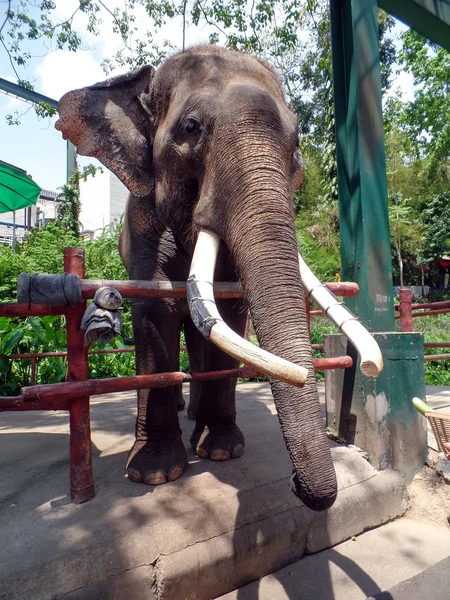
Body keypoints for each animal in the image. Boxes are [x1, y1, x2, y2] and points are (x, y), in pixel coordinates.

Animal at [55, 45, 338, 510]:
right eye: (191, 128)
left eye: (296, 141)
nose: (297, 486)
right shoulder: (145, 222)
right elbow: (155, 309)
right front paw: (153, 474)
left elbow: (230, 310)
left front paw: (222, 451)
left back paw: (197, 420)